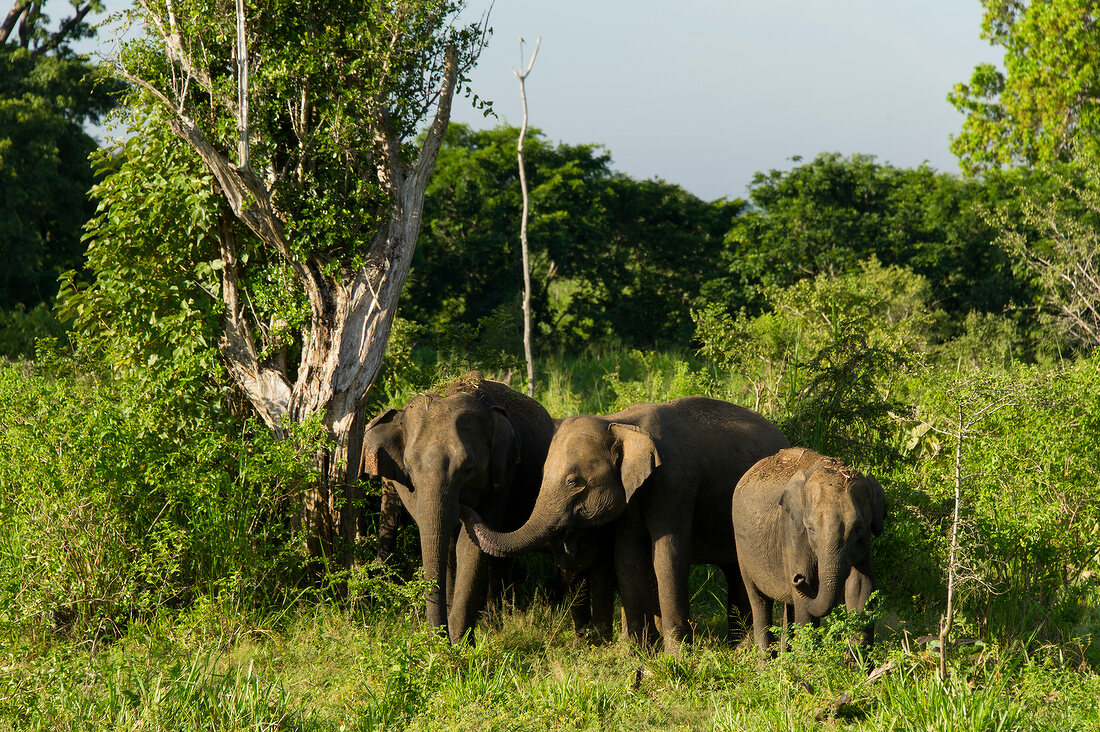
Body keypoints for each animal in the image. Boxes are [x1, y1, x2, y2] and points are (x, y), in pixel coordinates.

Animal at [358, 374, 554, 642]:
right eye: (409, 469)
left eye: (468, 469)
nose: (437, 640)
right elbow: (447, 546)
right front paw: (448, 640)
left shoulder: (502, 478)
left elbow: (469, 546)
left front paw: (460, 645)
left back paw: (495, 621)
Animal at [459, 396, 787, 651]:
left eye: (573, 482)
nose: (465, 507)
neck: (618, 422)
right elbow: (628, 560)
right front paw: (637, 653)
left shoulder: (675, 483)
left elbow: (667, 557)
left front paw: (676, 656)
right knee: (734, 570)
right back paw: (738, 643)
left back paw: (742, 646)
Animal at [730, 444, 884, 651]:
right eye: (810, 528)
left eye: (858, 527)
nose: (797, 578)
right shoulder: (793, 533)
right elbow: (807, 599)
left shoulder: (864, 543)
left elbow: (861, 588)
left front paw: (858, 659)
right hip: (742, 550)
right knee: (759, 600)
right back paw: (765, 658)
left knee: (789, 605)